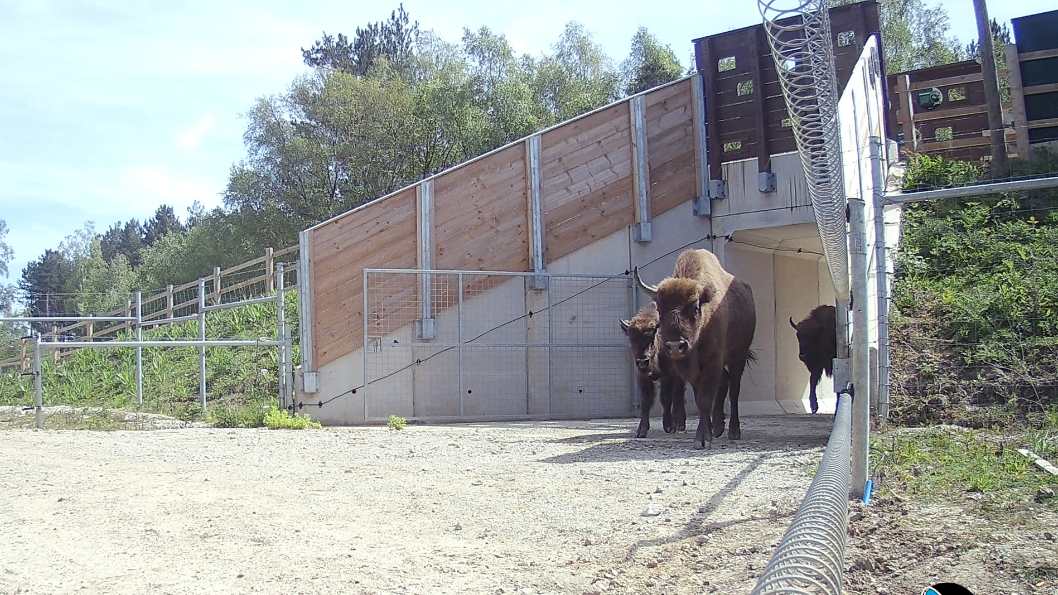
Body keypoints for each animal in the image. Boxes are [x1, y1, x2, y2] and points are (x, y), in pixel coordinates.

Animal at [620, 302, 686, 438]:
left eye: (651, 338)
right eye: (632, 339)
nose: (642, 361)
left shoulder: (668, 375)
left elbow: (666, 398)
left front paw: (668, 426)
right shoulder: (642, 376)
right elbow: (646, 401)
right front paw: (641, 430)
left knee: (679, 395)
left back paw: (678, 425)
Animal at [636, 250, 756, 448]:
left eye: (695, 307)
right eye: (660, 309)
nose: (675, 347)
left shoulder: (713, 360)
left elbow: (705, 398)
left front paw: (702, 439)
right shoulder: (692, 369)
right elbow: (700, 396)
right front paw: (708, 430)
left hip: (739, 356)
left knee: (734, 389)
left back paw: (733, 431)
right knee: (724, 382)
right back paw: (718, 427)